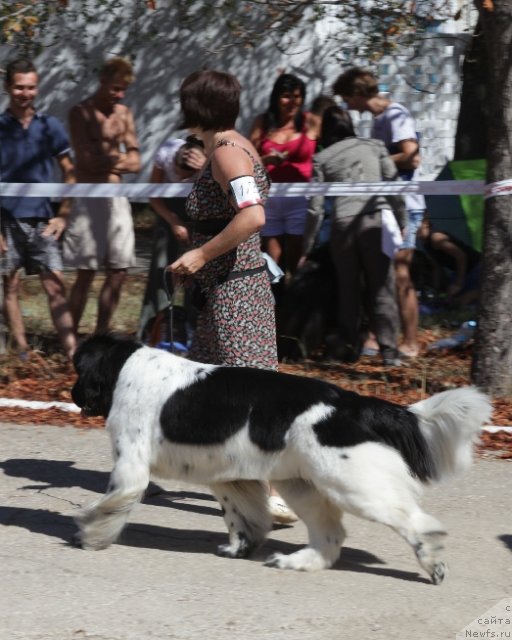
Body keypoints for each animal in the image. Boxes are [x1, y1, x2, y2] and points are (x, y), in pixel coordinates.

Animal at [72, 332, 492, 584]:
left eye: (78, 367)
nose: (74, 394)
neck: (126, 366)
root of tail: (356, 404)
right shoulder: (232, 479)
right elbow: (243, 519)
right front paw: (240, 550)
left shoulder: (131, 465)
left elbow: (110, 504)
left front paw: (89, 536)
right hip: (303, 486)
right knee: (330, 536)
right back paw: (296, 562)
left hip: (354, 487)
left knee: (416, 524)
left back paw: (433, 563)